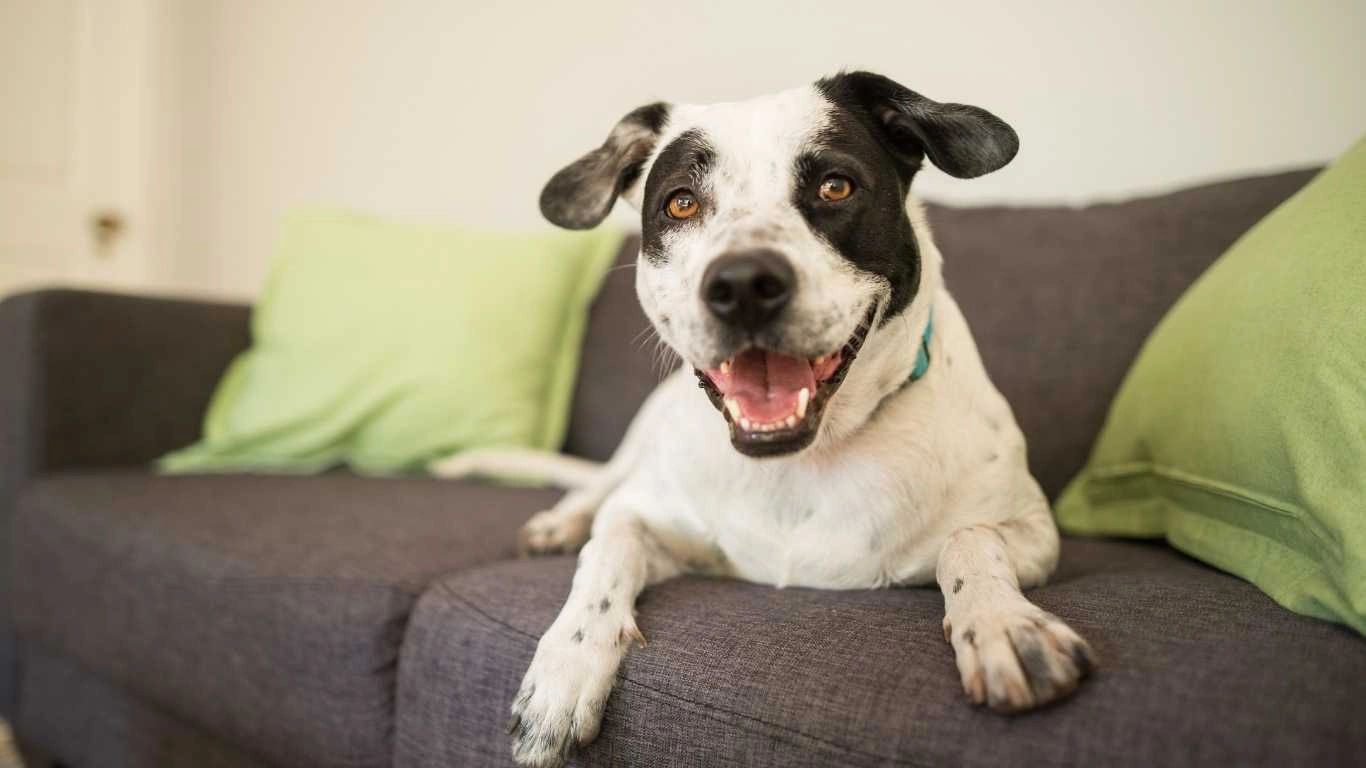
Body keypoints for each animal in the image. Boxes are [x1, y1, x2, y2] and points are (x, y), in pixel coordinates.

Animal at [442, 71, 1092, 765]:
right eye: (681, 204)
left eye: (835, 186)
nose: (743, 284)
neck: (804, 459)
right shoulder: (654, 517)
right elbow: (607, 549)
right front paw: (565, 668)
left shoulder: (1034, 531)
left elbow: (970, 539)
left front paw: (1004, 625)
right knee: (598, 487)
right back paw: (559, 522)